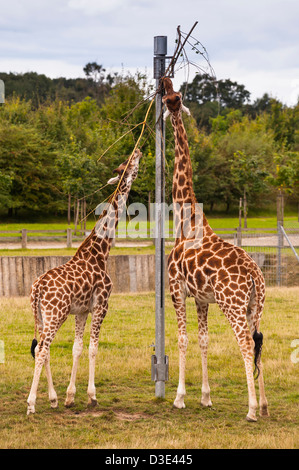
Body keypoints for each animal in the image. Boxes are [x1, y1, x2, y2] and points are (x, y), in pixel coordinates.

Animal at [26, 149, 142, 414]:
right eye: (128, 164)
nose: (139, 151)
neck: (101, 252)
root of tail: (38, 288)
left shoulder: (80, 311)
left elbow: (76, 348)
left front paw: (69, 397)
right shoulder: (101, 305)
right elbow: (93, 348)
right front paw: (92, 396)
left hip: (43, 315)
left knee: (42, 349)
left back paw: (53, 398)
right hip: (56, 313)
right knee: (43, 349)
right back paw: (31, 403)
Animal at [163, 78, 270, 422]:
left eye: (173, 98)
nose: (164, 82)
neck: (185, 219)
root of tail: (255, 275)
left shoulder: (177, 290)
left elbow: (182, 339)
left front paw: (180, 398)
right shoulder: (201, 298)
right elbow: (203, 340)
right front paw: (205, 397)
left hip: (232, 304)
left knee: (246, 345)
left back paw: (251, 409)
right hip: (255, 306)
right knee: (258, 341)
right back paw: (264, 405)